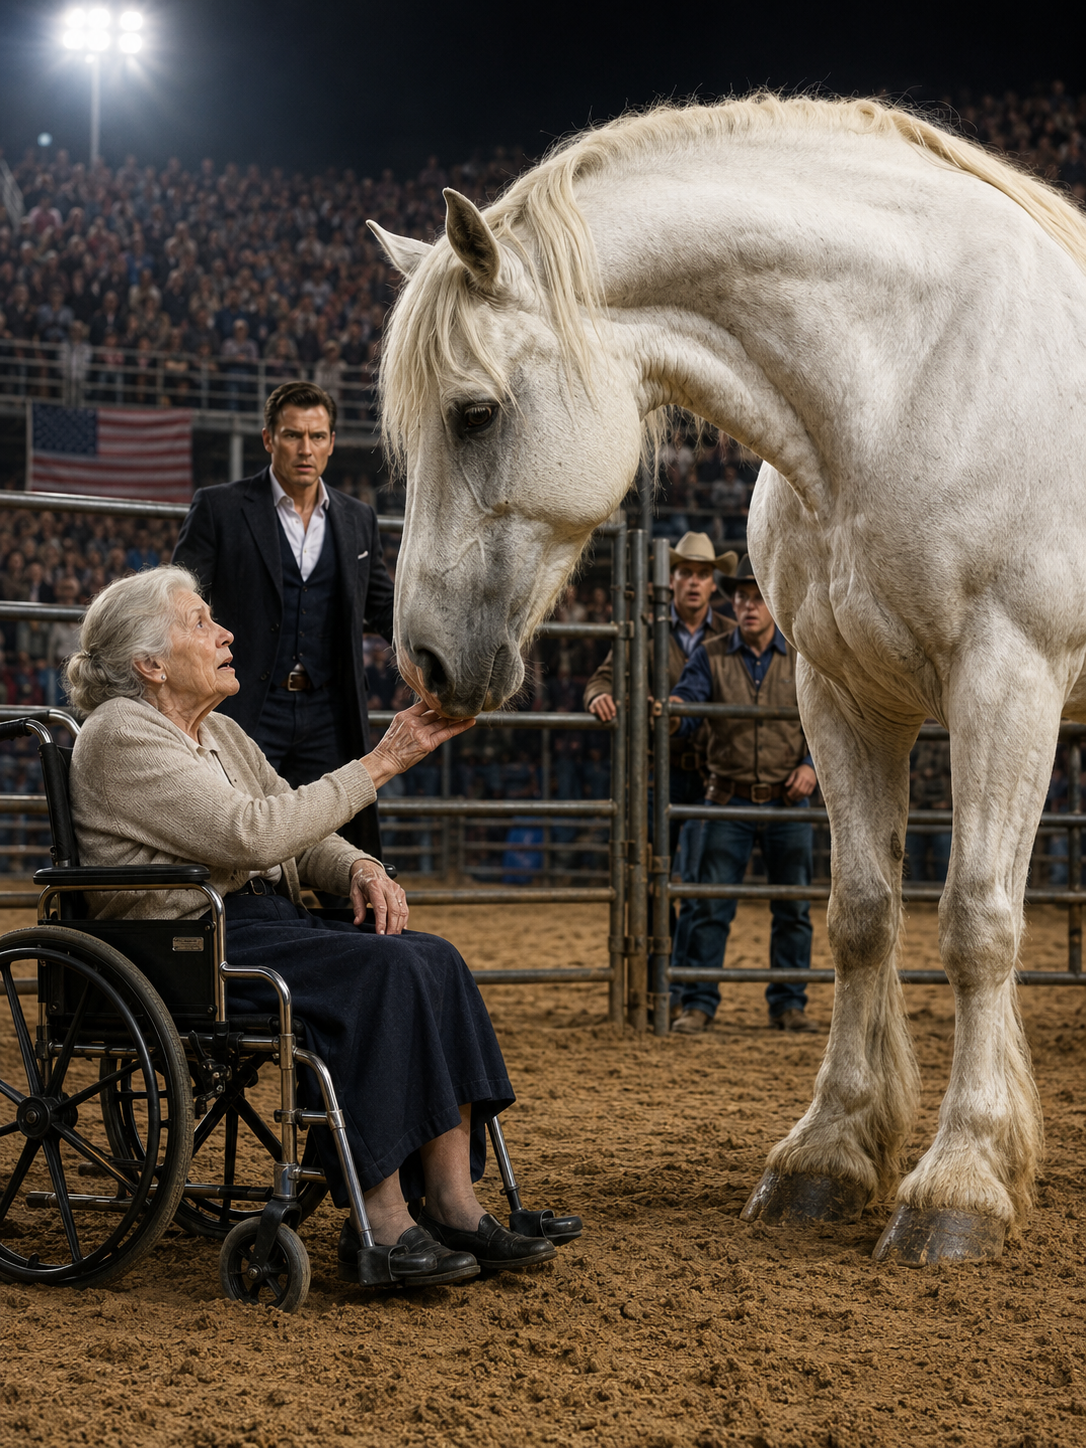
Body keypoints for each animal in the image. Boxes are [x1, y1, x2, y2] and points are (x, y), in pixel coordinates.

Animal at [368, 94, 1086, 1265]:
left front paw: (963, 1179)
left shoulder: (1006, 679)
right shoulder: (844, 696)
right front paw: (830, 1153)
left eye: (473, 413)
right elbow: (861, 916)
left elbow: (977, 923)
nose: (424, 662)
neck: (921, 370)